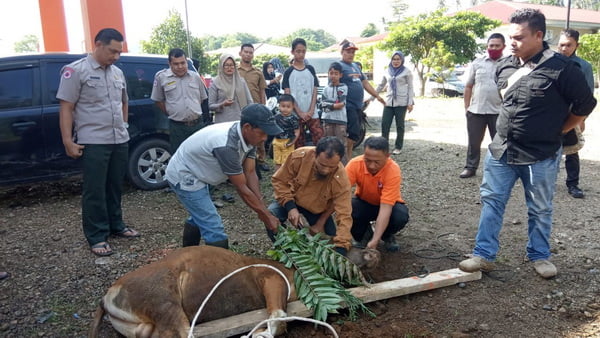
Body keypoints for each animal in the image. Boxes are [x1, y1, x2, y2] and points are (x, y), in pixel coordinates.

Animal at [88, 246, 380, 338]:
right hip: (167, 308)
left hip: (143, 328)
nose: (373, 251)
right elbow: (278, 319)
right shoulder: (271, 279)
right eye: (347, 246)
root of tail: (107, 296)